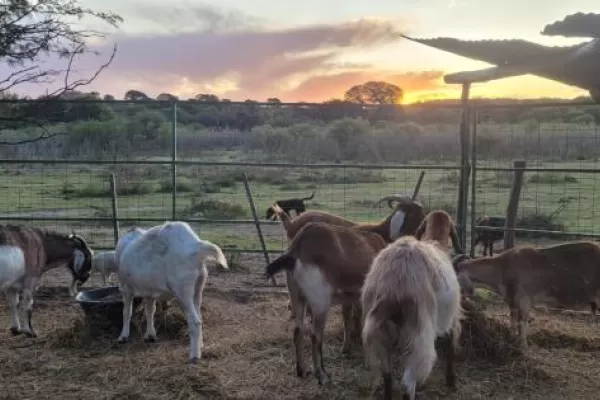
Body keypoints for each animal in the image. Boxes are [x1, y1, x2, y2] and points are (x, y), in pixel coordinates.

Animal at [116, 222, 227, 362]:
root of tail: (195, 246)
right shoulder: (150, 291)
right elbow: (149, 311)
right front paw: (150, 335)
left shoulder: (126, 288)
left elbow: (126, 312)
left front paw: (123, 336)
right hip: (198, 287)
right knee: (199, 316)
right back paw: (200, 345)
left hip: (182, 289)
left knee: (194, 322)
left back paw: (194, 356)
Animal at [264, 223, 386, 386]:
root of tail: (297, 248)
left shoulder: (350, 299)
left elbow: (348, 320)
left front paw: (346, 349)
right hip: (320, 301)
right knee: (316, 336)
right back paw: (321, 375)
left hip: (297, 296)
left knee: (298, 331)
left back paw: (301, 370)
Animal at [360, 216, 464, 400]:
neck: (436, 242)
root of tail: (392, 288)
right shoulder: (451, 317)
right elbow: (451, 344)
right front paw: (451, 380)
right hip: (418, 336)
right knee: (408, 384)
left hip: (380, 334)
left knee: (387, 376)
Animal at [452, 239, 600, 348]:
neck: (503, 267)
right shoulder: (511, 301)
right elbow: (512, 320)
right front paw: (511, 338)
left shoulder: (524, 300)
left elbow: (522, 323)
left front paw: (523, 346)